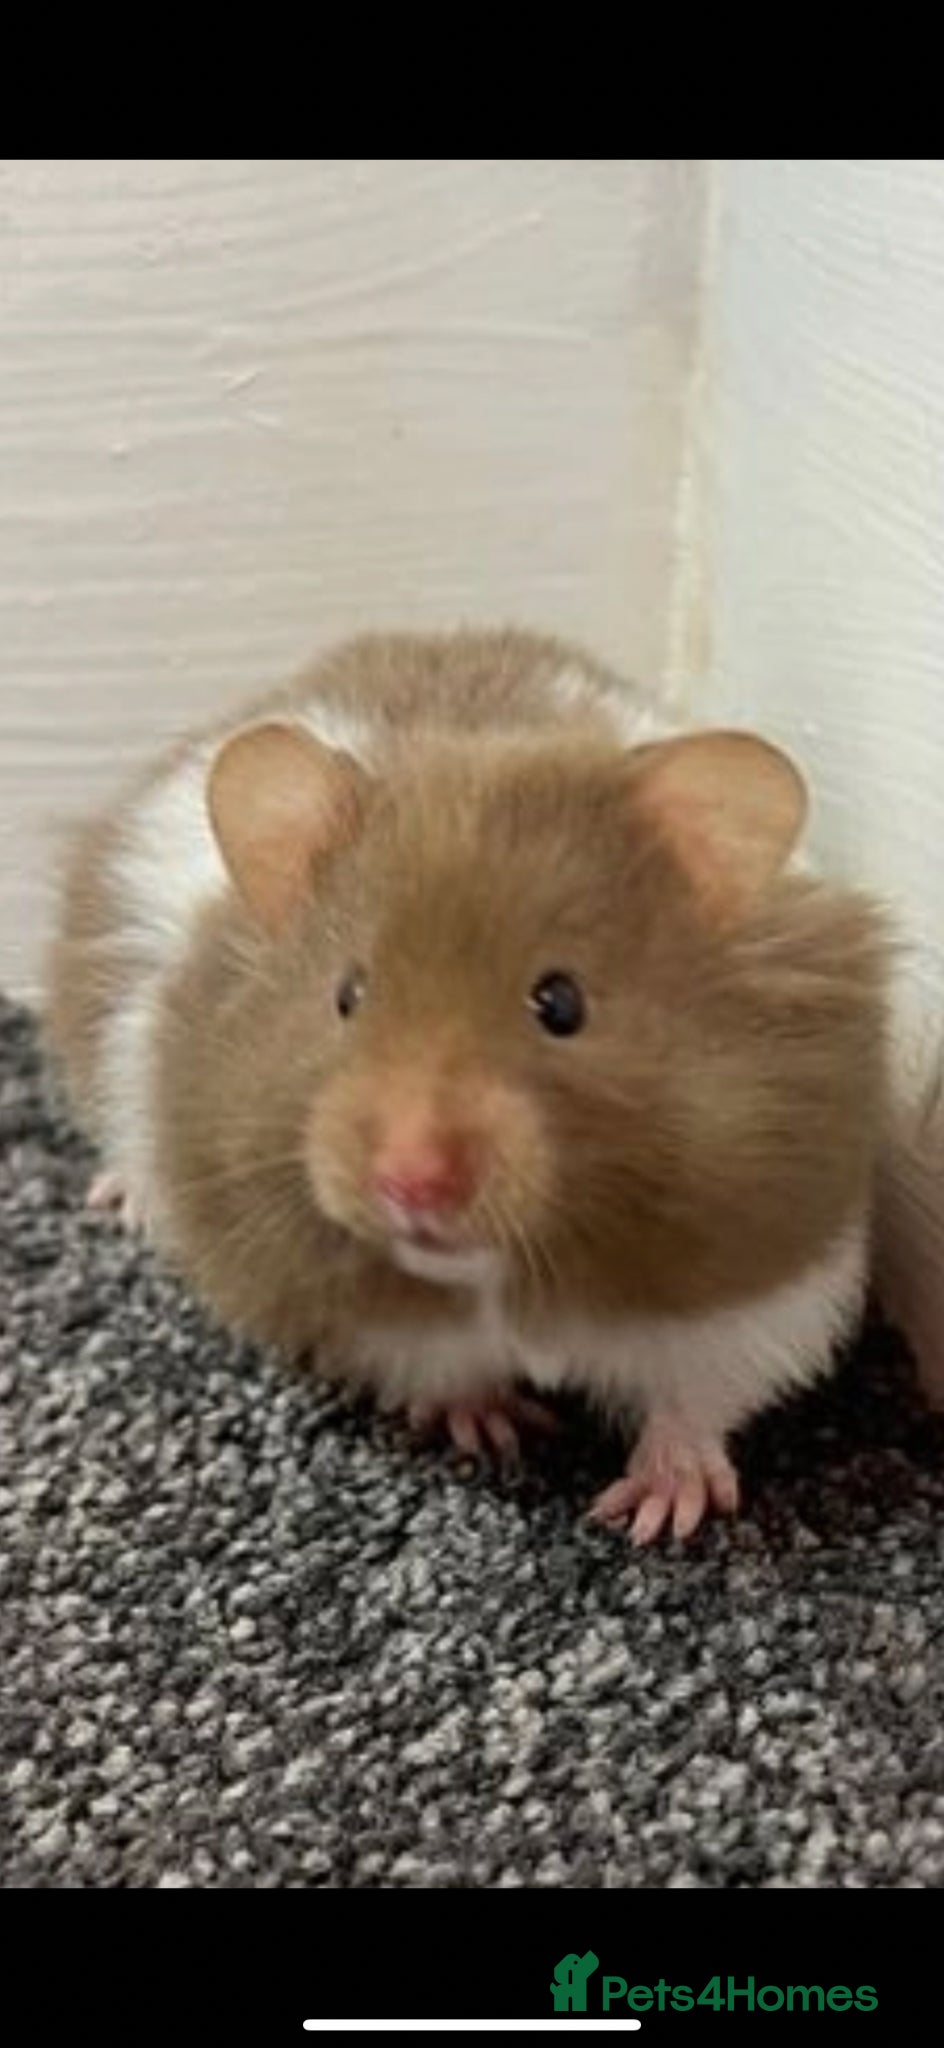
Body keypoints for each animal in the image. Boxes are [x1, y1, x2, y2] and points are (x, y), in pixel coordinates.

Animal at [45, 628, 890, 1542]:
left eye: (562, 1002)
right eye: (347, 994)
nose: (410, 1182)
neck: (500, 1271)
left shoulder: (759, 1286)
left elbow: (693, 1400)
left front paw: (655, 1517)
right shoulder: (363, 1319)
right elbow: (444, 1372)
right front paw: (497, 1434)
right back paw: (123, 1200)